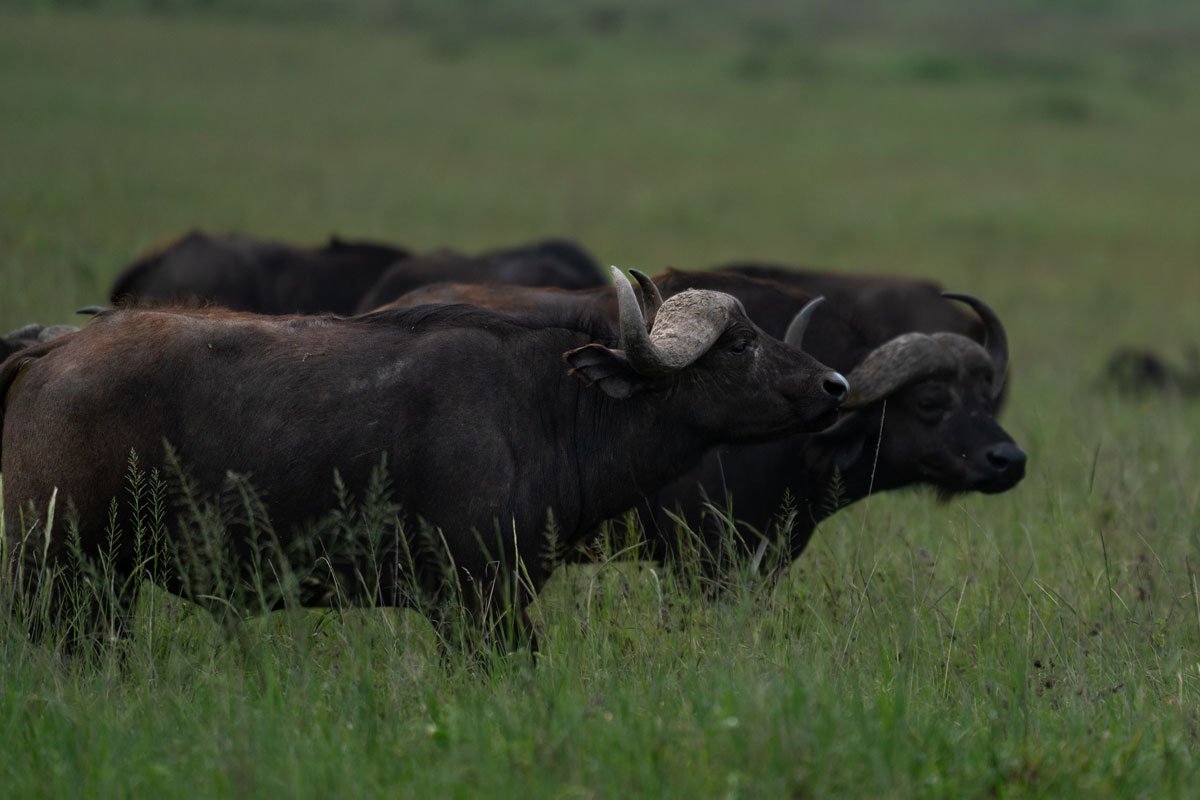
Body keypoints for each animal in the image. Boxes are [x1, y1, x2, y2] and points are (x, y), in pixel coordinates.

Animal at [2, 268, 847, 651]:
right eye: (738, 345)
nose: (834, 385)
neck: (550, 408)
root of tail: (52, 354)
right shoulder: (477, 600)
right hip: (57, 576)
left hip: (107, 586)